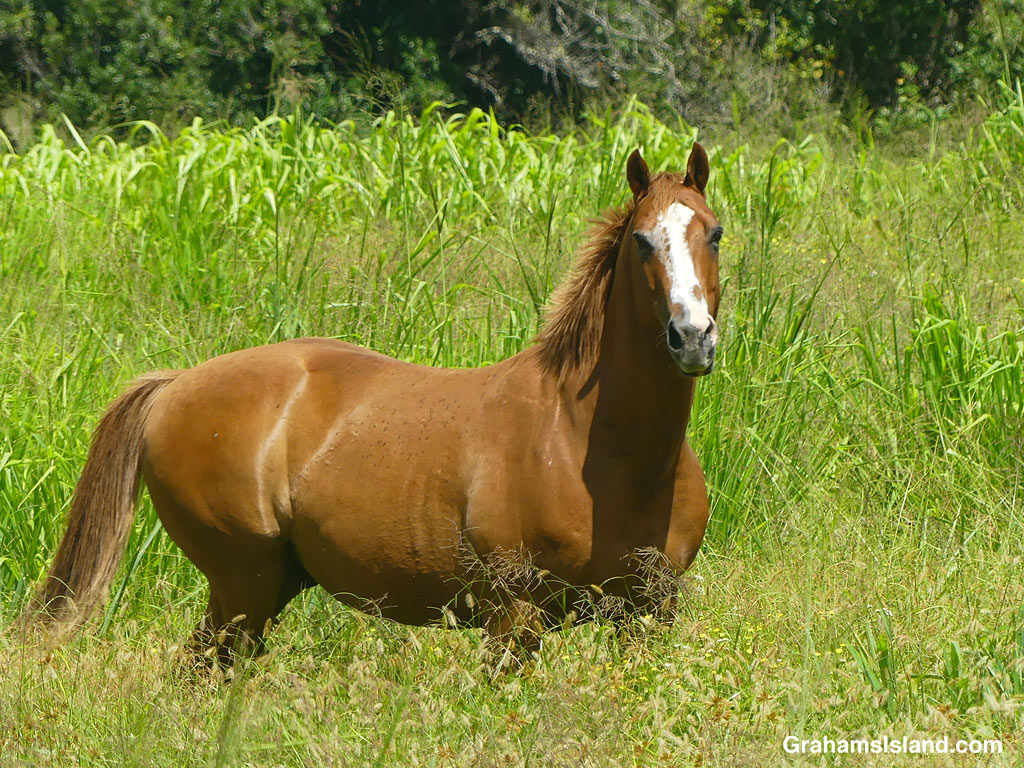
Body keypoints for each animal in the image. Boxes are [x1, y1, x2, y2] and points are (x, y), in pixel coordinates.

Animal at [27, 144, 723, 661]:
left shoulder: (648, 614)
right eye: (642, 240)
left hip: (262, 590)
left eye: (713, 233)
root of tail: (174, 386)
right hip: (243, 583)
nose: (692, 336)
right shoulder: (515, 619)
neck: (591, 446)